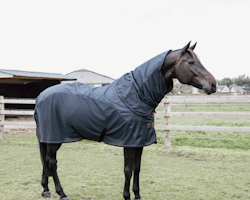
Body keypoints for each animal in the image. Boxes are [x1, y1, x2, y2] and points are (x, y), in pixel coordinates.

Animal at [34, 41, 217, 199]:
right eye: (191, 62)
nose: (213, 84)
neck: (136, 95)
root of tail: (41, 96)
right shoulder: (129, 142)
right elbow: (128, 169)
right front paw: (127, 196)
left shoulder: (139, 141)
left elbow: (137, 168)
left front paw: (137, 195)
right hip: (54, 137)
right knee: (51, 162)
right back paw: (61, 193)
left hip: (49, 138)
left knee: (45, 161)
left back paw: (46, 190)